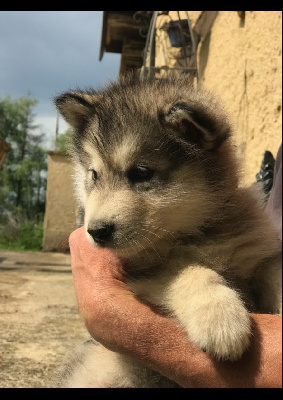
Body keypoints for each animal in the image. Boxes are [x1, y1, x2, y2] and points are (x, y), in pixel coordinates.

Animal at [54, 72, 282, 388]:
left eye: (141, 173)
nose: (96, 231)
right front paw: (219, 318)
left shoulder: (257, 253)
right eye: (94, 175)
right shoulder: (144, 274)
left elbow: (274, 272)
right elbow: (189, 270)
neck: (196, 234)